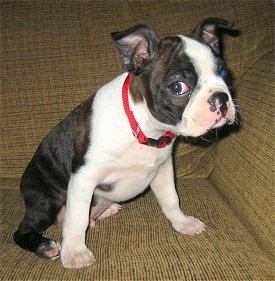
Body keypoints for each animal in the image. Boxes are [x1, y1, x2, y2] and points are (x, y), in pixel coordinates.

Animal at [13, 17, 237, 266]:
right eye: (178, 87)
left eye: (224, 72)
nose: (221, 98)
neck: (144, 128)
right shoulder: (83, 176)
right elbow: (76, 219)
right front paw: (75, 252)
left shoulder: (163, 169)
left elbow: (171, 198)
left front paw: (182, 221)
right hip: (46, 198)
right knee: (25, 230)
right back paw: (45, 246)